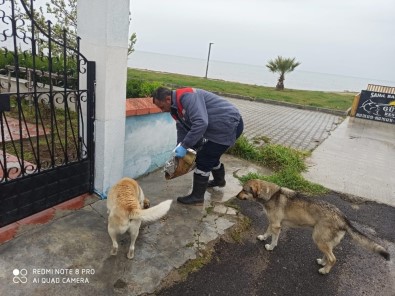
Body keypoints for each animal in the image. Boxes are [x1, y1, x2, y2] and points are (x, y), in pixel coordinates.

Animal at [237, 179, 392, 274]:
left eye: (244, 190)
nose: (236, 196)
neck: (270, 194)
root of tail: (343, 217)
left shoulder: (276, 225)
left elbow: (274, 239)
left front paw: (270, 246)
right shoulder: (272, 223)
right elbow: (267, 232)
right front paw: (263, 238)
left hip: (318, 238)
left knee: (333, 258)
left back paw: (324, 271)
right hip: (324, 240)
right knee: (328, 254)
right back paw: (322, 262)